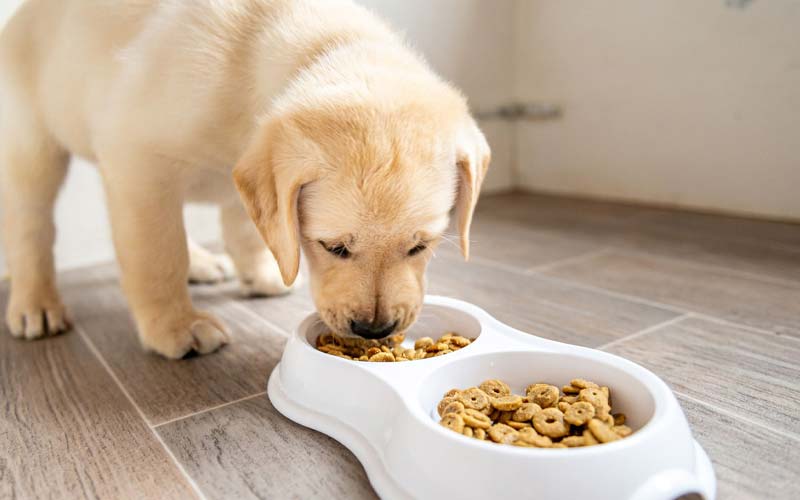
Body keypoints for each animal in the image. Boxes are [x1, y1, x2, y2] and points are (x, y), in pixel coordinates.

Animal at [0, 0, 490, 360]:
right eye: (333, 247)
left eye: (421, 246)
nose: (374, 329)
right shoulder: (137, 160)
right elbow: (158, 256)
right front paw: (175, 326)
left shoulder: (249, 178)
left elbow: (249, 228)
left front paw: (258, 273)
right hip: (32, 146)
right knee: (32, 227)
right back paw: (36, 304)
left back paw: (202, 264)